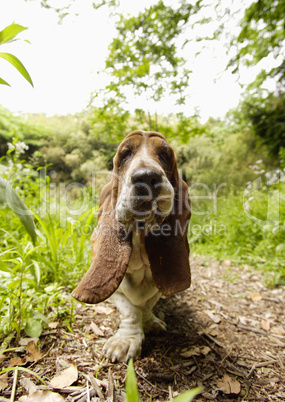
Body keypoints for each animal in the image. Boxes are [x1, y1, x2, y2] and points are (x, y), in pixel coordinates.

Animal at [71, 130, 191, 362]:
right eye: (125, 154)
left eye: (164, 154)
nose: (147, 176)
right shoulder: (117, 289)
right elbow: (130, 310)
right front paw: (126, 340)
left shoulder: (157, 286)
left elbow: (146, 305)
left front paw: (151, 322)